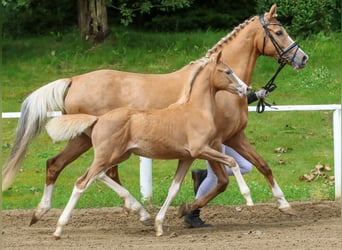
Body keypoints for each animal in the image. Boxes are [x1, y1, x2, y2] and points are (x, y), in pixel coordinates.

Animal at [46, 53, 248, 238]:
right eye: (228, 71)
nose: (245, 88)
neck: (195, 110)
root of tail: (98, 119)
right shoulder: (202, 149)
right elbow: (232, 161)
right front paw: (247, 197)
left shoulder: (187, 157)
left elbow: (173, 189)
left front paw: (159, 226)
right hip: (107, 156)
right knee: (82, 182)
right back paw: (58, 229)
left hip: (118, 155)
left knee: (97, 175)